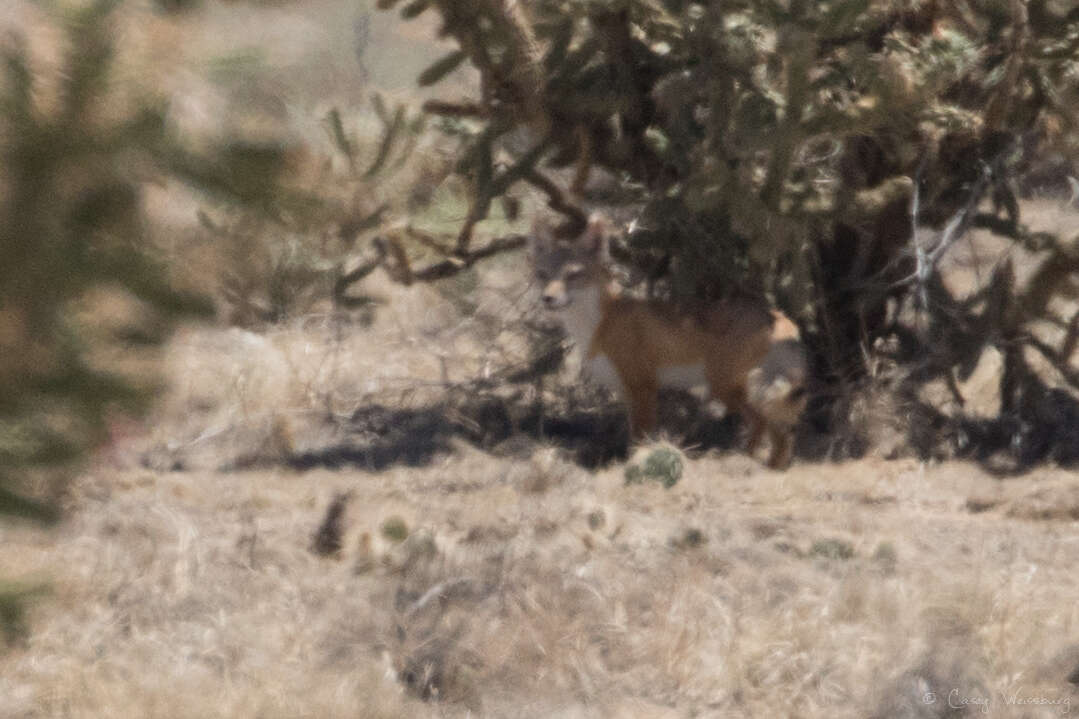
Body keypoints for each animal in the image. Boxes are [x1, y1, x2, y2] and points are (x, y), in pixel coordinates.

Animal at [535, 213, 807, 464]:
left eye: (573, 275)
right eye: (543, 275)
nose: (547, 298)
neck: (600, 323)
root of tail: (779, 316)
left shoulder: (643, 387)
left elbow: (639, 441)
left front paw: (636, 465)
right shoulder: (628, 391)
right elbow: (634, 436)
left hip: (723, 387)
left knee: (762, 424)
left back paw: (743, 462)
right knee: (782, 437)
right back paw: (770, 468)